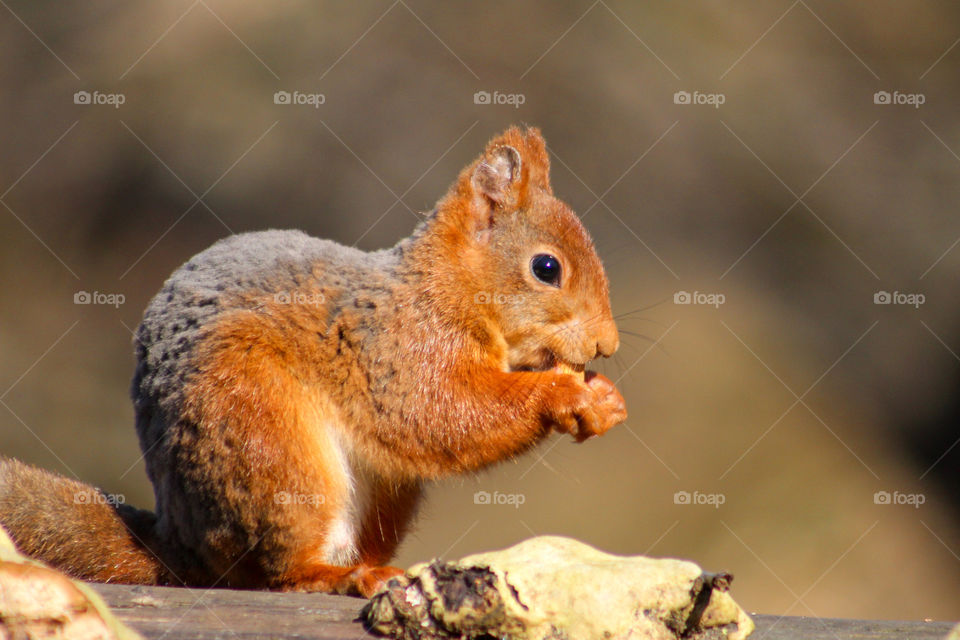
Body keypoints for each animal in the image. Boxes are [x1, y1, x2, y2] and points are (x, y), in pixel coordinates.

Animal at [0, 126, 627, 597]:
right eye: (546, 268)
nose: (607, 345)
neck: (444, 290)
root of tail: (183, 543)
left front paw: (605, 397)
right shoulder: (395, 349)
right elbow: (440, 412)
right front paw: (566, 394)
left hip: (380, 494)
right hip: (267, 442)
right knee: (275, 573)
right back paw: (339, 576)